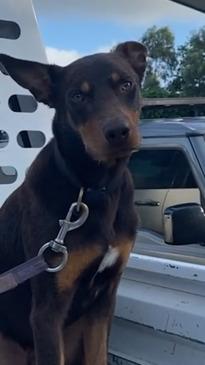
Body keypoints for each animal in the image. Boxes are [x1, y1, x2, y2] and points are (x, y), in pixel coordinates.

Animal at [0, 41, 147, 362]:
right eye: (77, 96)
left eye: (126, 84)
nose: (117, 132)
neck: (93, 188)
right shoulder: (47, 311)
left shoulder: (103, 301)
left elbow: (99, 356)